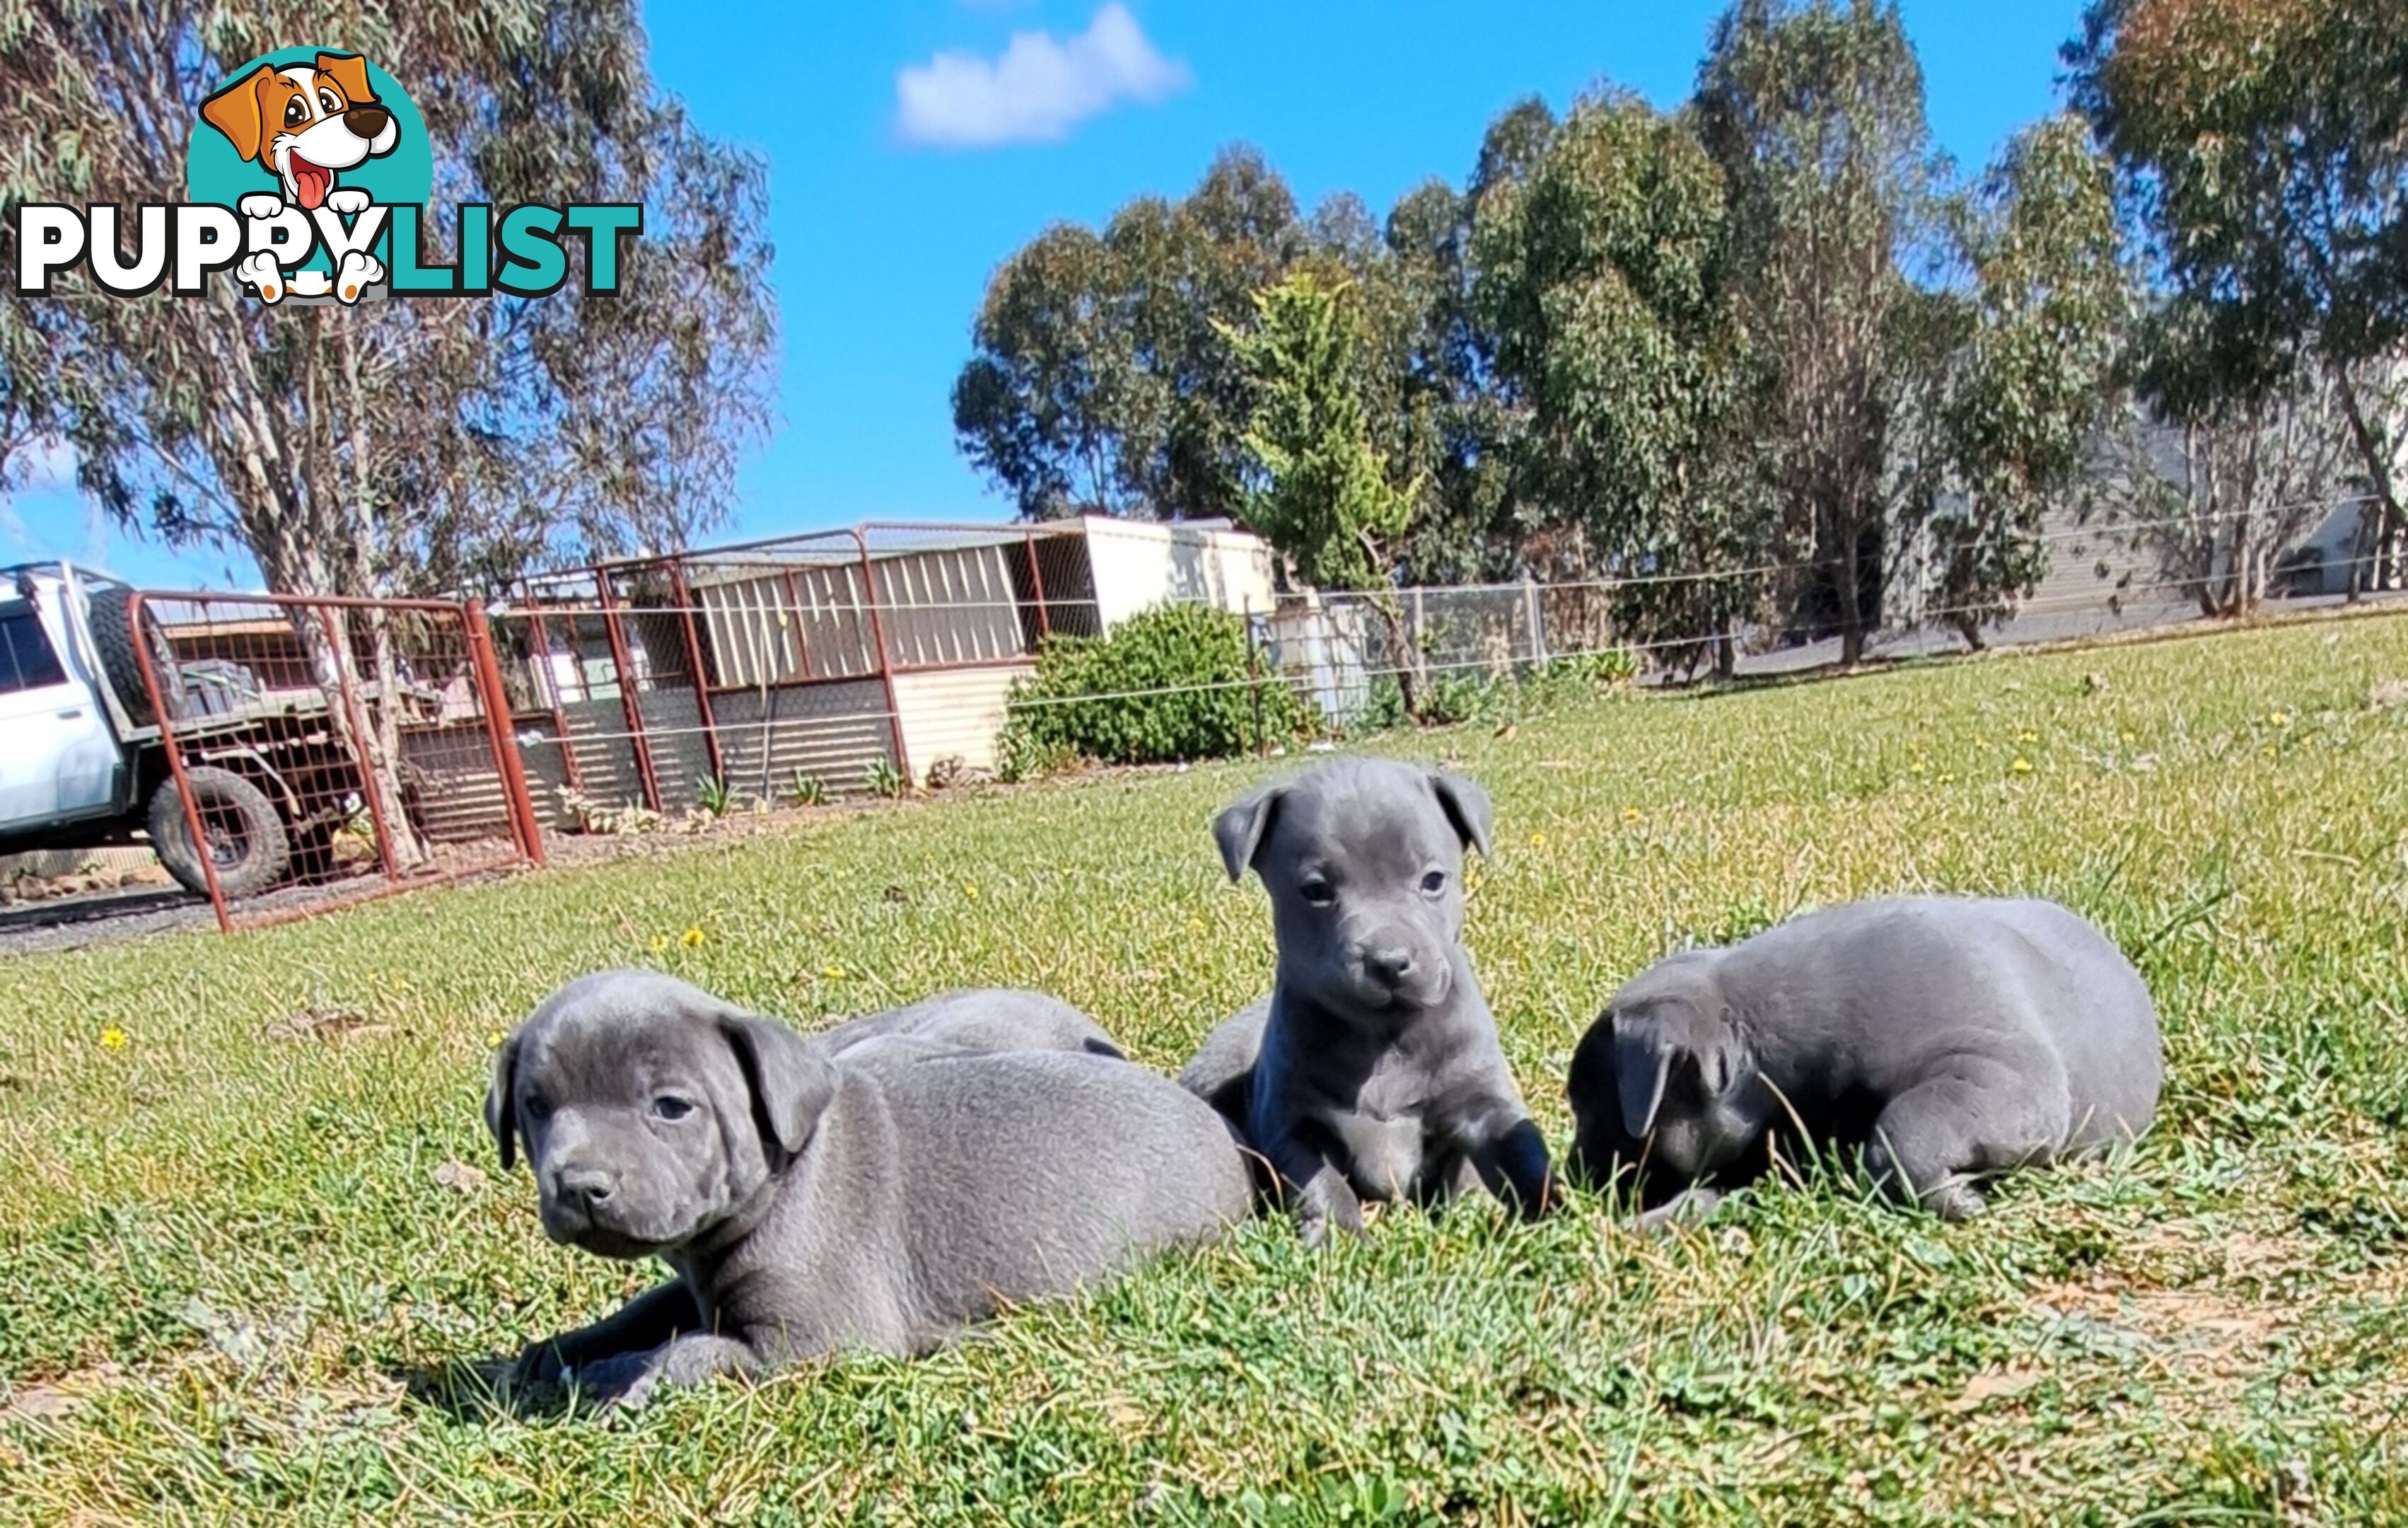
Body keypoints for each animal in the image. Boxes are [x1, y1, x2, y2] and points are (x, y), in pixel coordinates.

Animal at [482, 963, 1252, 1407]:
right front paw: (560, 1351)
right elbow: (648, 1311)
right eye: (536, 1106)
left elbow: (689, 1349)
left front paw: (612, 1379)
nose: (580, 1185)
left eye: (671, 1107)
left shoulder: (816, 1340)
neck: (788, 1172)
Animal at [1170, 756, 1550, 1243]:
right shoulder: (1291, 1124)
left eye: (1433, 881)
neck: (1384, 1035)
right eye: (1316, 891)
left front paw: (1561, 1209)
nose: (1389, 961)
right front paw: (1338, 1233)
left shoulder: (1482, 1103)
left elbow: (1520, 1152)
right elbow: (1321, 1182)